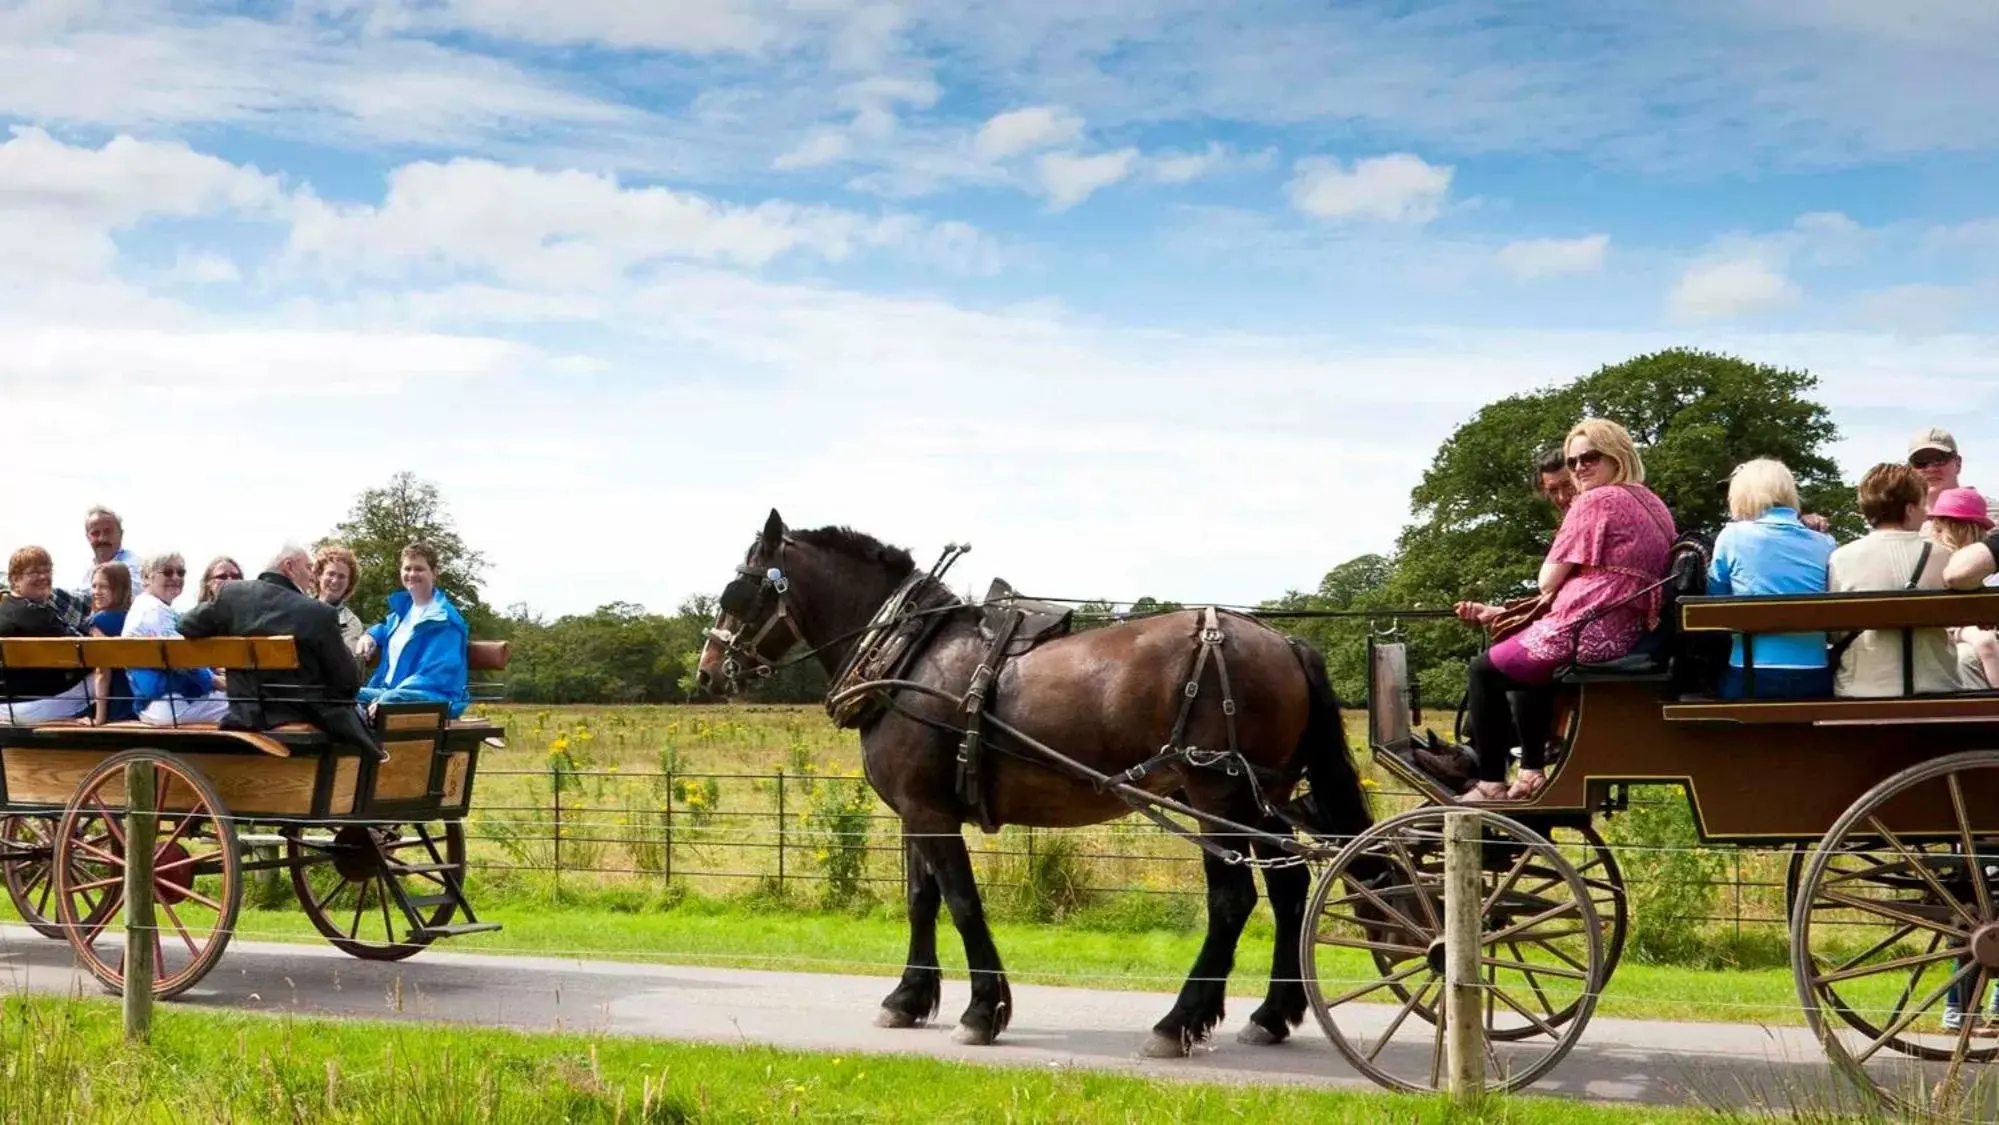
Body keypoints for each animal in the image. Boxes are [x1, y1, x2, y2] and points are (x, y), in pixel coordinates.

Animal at [691, 515, 1375, 1063]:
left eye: (738, 589)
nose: (706, 672)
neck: (910, 656)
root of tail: (1283, 639)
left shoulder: (931, 811)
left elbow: (962, 902)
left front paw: (981, 1013)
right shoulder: (916, 810)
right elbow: (921, 900)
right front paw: (908, 998)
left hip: (1216, 796)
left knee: (1233, 901)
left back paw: (1177, 1023)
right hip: (1263, 797)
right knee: (1290, 886)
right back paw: (1271, 1016)